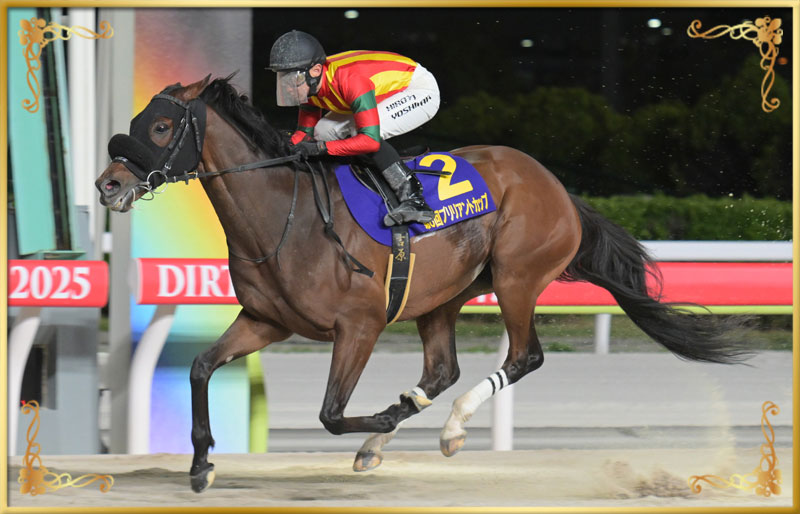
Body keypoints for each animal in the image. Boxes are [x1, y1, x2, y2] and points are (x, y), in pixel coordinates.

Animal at [96, 76, 750, 493]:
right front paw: (200, 464)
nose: (108, 185)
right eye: (133, 122)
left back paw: (449, 428)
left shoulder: (358, 325)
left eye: (160, 126)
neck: (286, 214)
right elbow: (201, 367)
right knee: (441, 370)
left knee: (524, 356)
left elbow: (332, 413)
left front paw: (379, 425)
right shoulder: (267, 321)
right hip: (443, 296)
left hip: (516, 277)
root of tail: (559, 189)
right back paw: (394, 432)